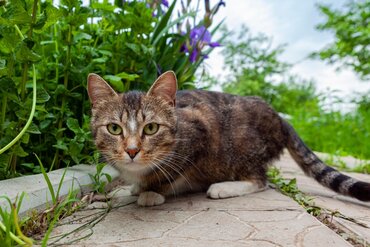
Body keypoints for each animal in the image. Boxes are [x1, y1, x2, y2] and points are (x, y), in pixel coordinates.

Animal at [88, 70, 370, 206]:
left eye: (151, 129)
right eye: (114, 129)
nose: (132, 150)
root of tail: (280, 117)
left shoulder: (201, 133)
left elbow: (171, 174)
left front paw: (151, 192)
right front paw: (136, 187)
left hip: (242, 146)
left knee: (261, 180)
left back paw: (224, 187)